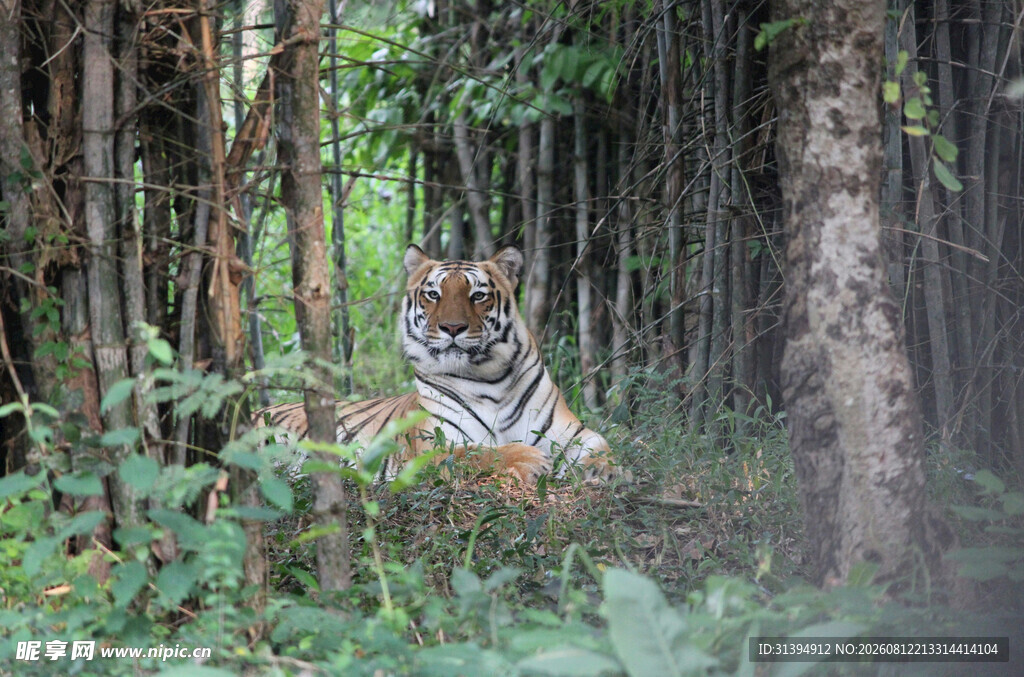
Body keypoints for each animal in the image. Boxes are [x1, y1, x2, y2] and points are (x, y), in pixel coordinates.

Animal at [257, 244, 619, 484]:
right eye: (433, 294)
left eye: (477, 295)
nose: (453, 328)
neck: (491, 378)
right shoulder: (433, 447)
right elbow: (480, 452)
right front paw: (528, 458)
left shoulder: (569, 430)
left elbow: (601, 444)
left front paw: (604, 470)